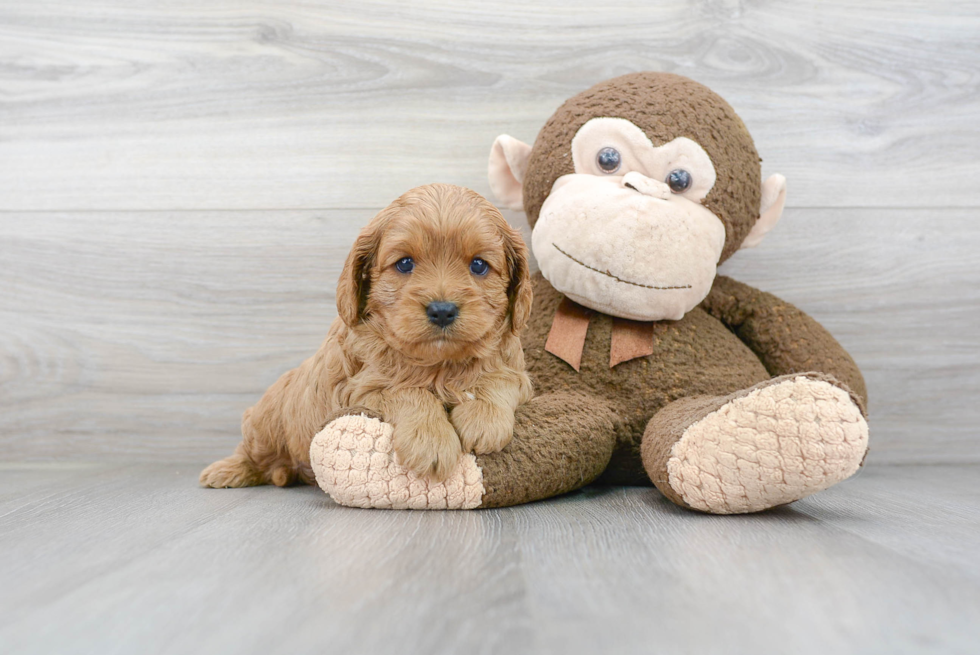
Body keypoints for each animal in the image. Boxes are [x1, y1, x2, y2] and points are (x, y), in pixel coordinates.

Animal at [202, 183, 532, 486]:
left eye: (479, 265)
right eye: (405, 263)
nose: (442, 310)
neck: (438, 365)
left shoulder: (517, 371)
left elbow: (500, 377)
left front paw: (483, 416)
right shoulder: (360, 390)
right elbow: (408, 391)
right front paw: (430, 441)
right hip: (265, 425)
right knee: (252, 452)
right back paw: (225, 471)